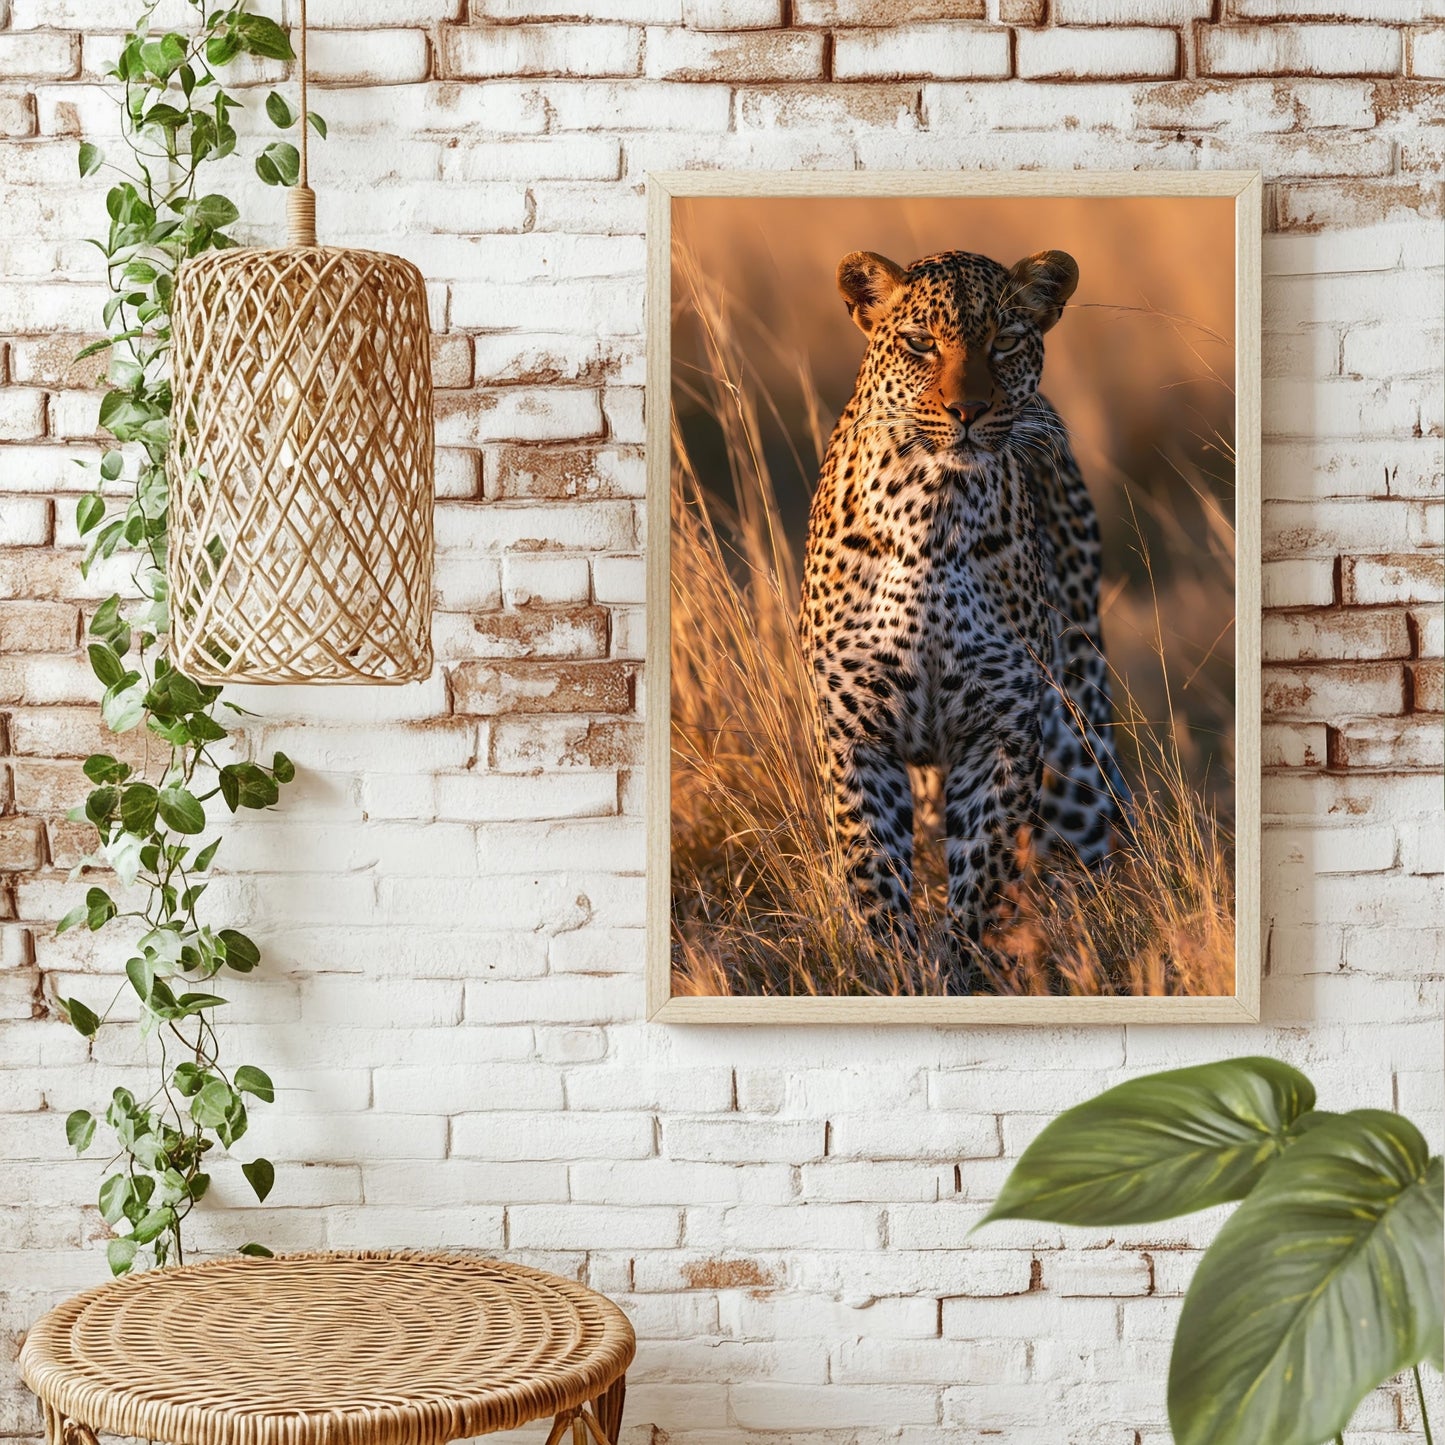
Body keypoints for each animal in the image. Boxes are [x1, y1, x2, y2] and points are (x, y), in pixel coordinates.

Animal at [799, 245, 1127, 991]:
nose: (968, 410)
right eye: (921, 342)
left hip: (1078, 742)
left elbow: (984, 873)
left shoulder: (1002, 733)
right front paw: (892, 971)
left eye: (1004, 341)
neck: (932, 509)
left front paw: (962, 973)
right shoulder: (856, 734)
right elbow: (872, 870)